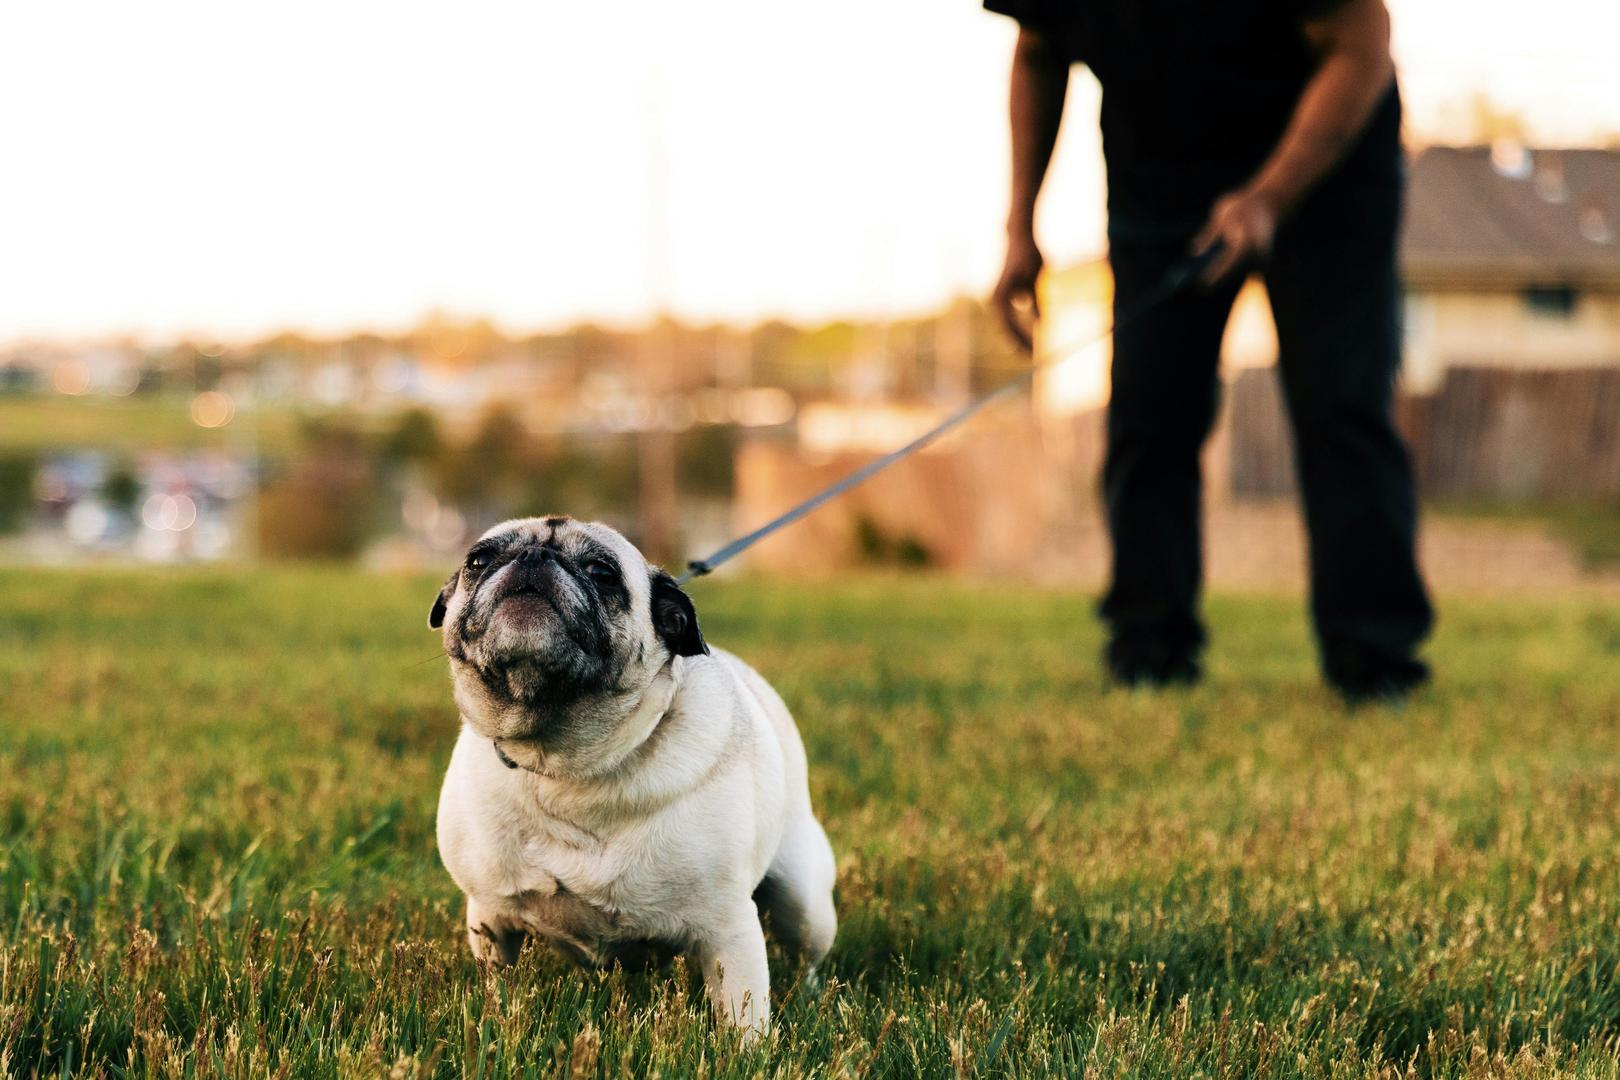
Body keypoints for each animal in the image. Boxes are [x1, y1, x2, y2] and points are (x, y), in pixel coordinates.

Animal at [430, 518, 835, 1036]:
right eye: (478, 560)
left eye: (602, 572)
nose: (534, 557)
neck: (565, 761)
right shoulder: (490, 919)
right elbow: (497, 989)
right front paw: (497, 1024)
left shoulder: (729, 929)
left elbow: (743, 1019)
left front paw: (749, 1050)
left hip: (803, 902)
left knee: (807, 955)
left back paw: (811, 998)